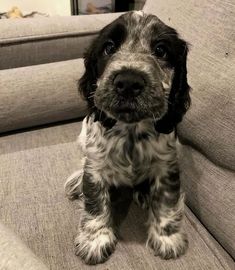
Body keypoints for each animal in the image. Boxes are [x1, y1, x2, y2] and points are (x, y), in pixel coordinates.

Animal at [64, 11, 191, 266]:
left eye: (161, 50)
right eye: (109, 48)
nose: (129, 82)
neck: (131, 131)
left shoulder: (167, 164)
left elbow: (167, 199)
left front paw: (167, 237)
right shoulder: (95, 166)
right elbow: (95, 202)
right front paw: (94, 240)